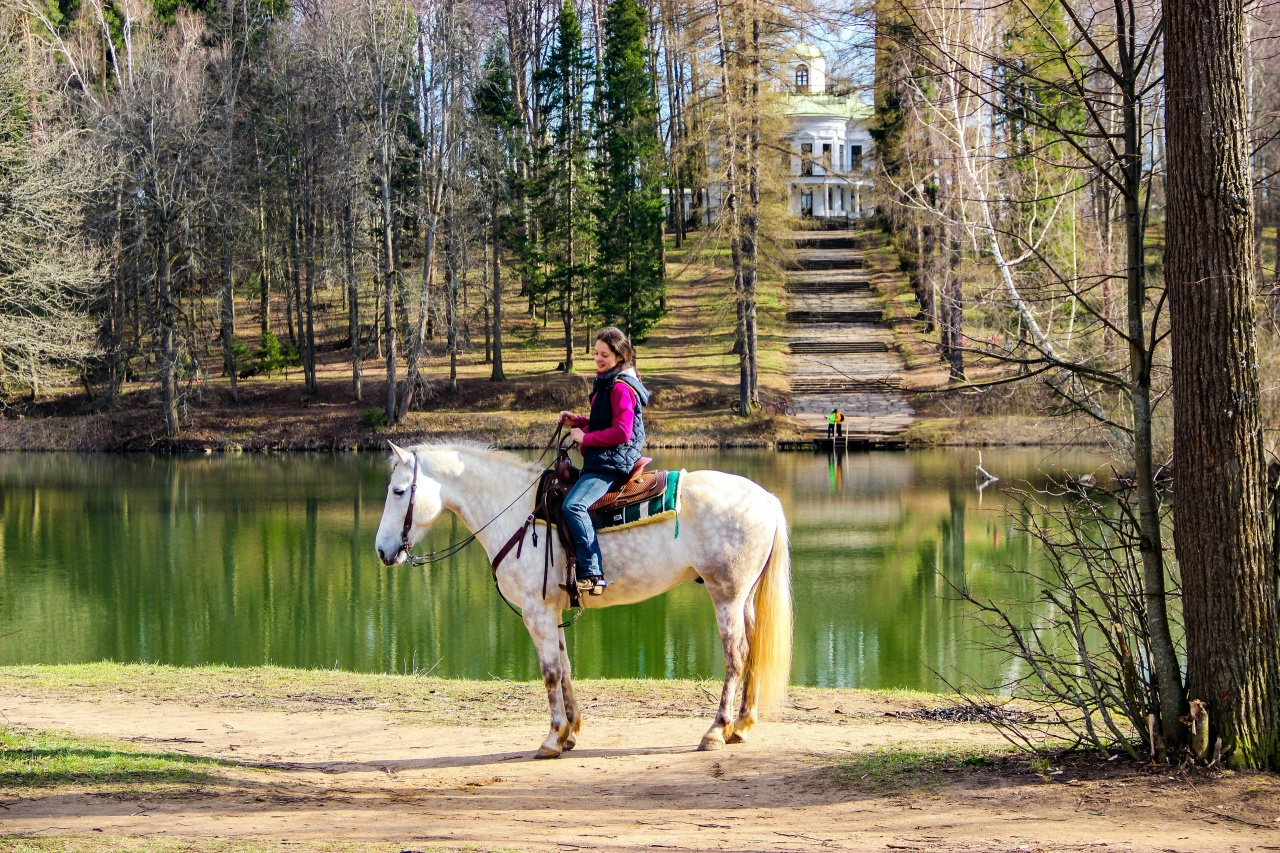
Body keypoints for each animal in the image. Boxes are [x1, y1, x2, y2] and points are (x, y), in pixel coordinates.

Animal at [374, 441, 793, 758]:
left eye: (398, 491)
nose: (381, 550)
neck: (518, 514)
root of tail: (765, 498)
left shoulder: (535, 612)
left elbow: (549, 672)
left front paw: (551, 737)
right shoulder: (551, 610)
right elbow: (566, 667)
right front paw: (570, 732)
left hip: (726, 594)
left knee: (736, 655)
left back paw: (716, 730)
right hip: (744, 597)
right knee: (753, 649)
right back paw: (741, 725)